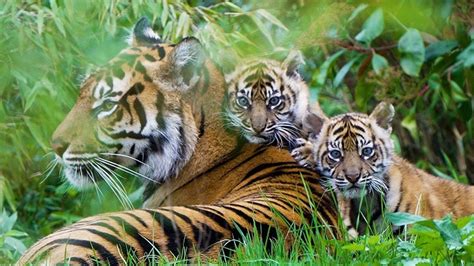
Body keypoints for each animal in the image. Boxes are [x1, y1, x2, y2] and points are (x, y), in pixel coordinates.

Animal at [292, 102, 474, 239]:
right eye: (336, 154)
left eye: (366, 151)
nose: (353, 177)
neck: (365, 202)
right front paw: (305, 151)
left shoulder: (427, 231)